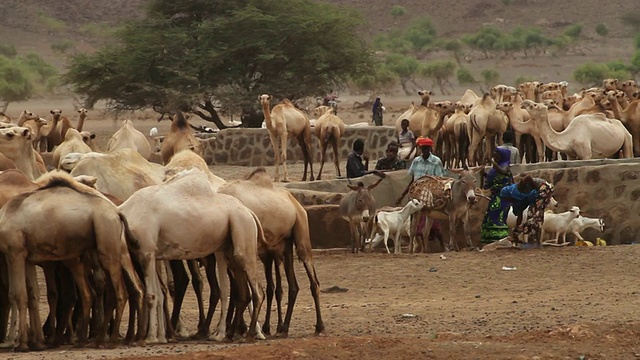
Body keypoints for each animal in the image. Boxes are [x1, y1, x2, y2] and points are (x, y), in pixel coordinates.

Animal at [0, 172, 144, 352]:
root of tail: (117, 212)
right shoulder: (28, 258)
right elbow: (32, 294)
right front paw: (36, 342)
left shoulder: (15, 251)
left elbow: (17, 294)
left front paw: (22, 344)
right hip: (114, 251)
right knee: (132, 288)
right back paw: (116, 339)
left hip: (107, 245)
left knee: (119, 292)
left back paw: (109, 340)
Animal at [119, 169, 264, 344]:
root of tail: (249, 211)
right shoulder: (151, 255)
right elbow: (159, 294)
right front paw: (159, 337)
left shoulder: (146, 252)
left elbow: (151, 295)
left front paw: (150, 338)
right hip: (226, 247)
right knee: (235, 291)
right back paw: (223, 335)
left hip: (243, 230)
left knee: (256, 290)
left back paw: (249, 334)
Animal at [218, 169, 324, 338]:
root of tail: (296, 203)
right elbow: (238, 290)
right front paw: (235, 328)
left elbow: (240, 290)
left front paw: (236, 329)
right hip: (284, 244)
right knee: (293, 286)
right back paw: (283, 327)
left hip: (300, 231)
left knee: (311, 276)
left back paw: (319, 326)